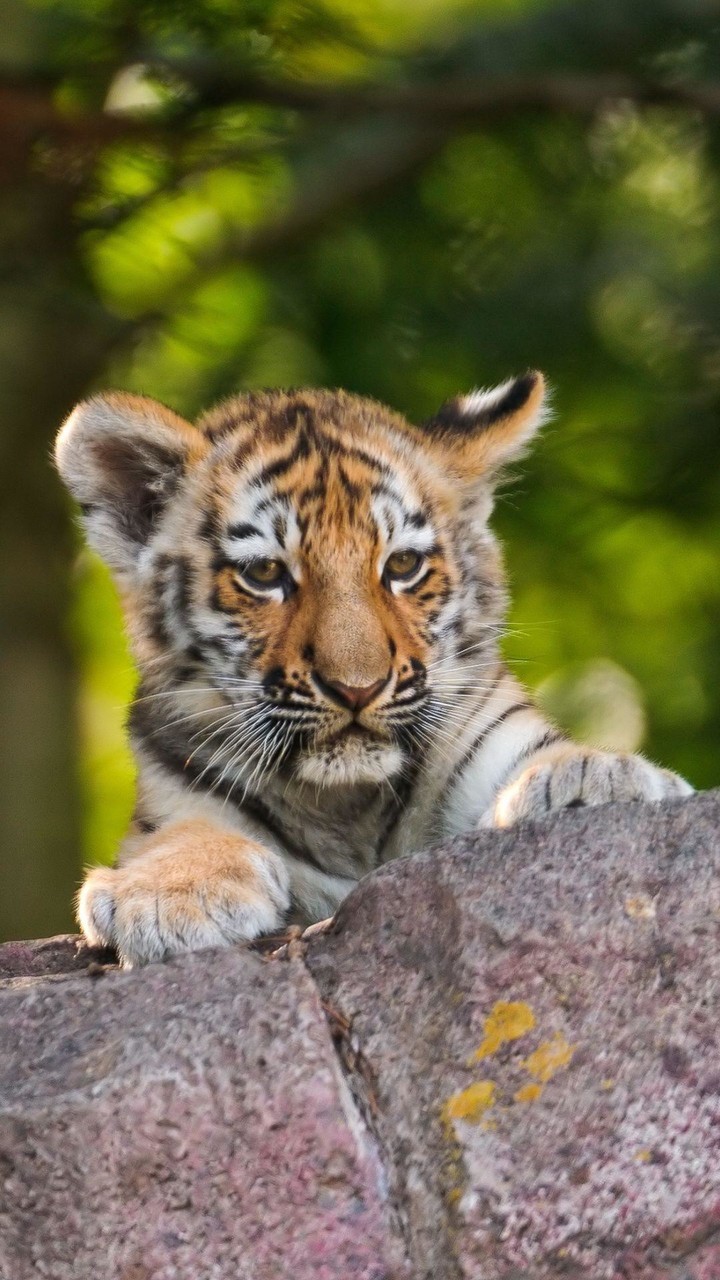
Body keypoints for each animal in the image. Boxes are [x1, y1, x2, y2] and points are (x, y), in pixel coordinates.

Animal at [55, 372, 692, 967]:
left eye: (403, 565)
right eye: (265, 573)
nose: (356, 689)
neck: (346, 805)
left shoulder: (490, 727)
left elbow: (548, 756)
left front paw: (596, 778)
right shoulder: (175, 794)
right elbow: (185, 834)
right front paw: (168, 898)